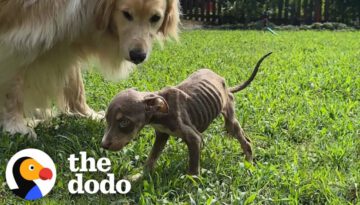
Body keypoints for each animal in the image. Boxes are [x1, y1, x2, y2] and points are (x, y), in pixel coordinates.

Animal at [102, 52, 272, 175]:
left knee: (245, 141)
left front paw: (192, 185)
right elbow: (152, 157)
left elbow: (193, 168)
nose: (103, 145)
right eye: (107, 121)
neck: (160, 112)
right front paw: (140, 175)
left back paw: (249, 162)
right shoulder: (162, 135)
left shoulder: (194, 138)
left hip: (229, 116)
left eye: (124, 122)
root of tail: (224, 83)